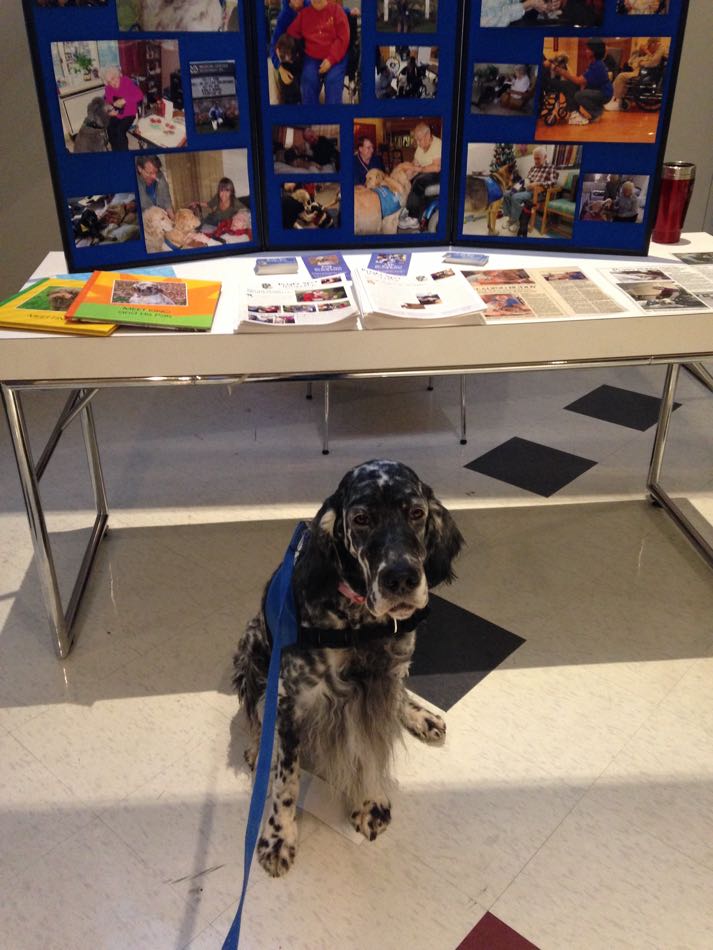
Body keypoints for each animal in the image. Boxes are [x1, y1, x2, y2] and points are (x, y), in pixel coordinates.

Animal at [232, 460, 462, 876]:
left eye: (416, 513)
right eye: (361, 519)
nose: (401, 578)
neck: (359, 624)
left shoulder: (380, 683)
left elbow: (372, 749)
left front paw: (369, 802)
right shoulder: (290, 701)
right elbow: (286, 781)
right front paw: (278, 836)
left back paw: (420, 715)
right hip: (251, 647)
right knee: (255, 712)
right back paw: (259, 748)